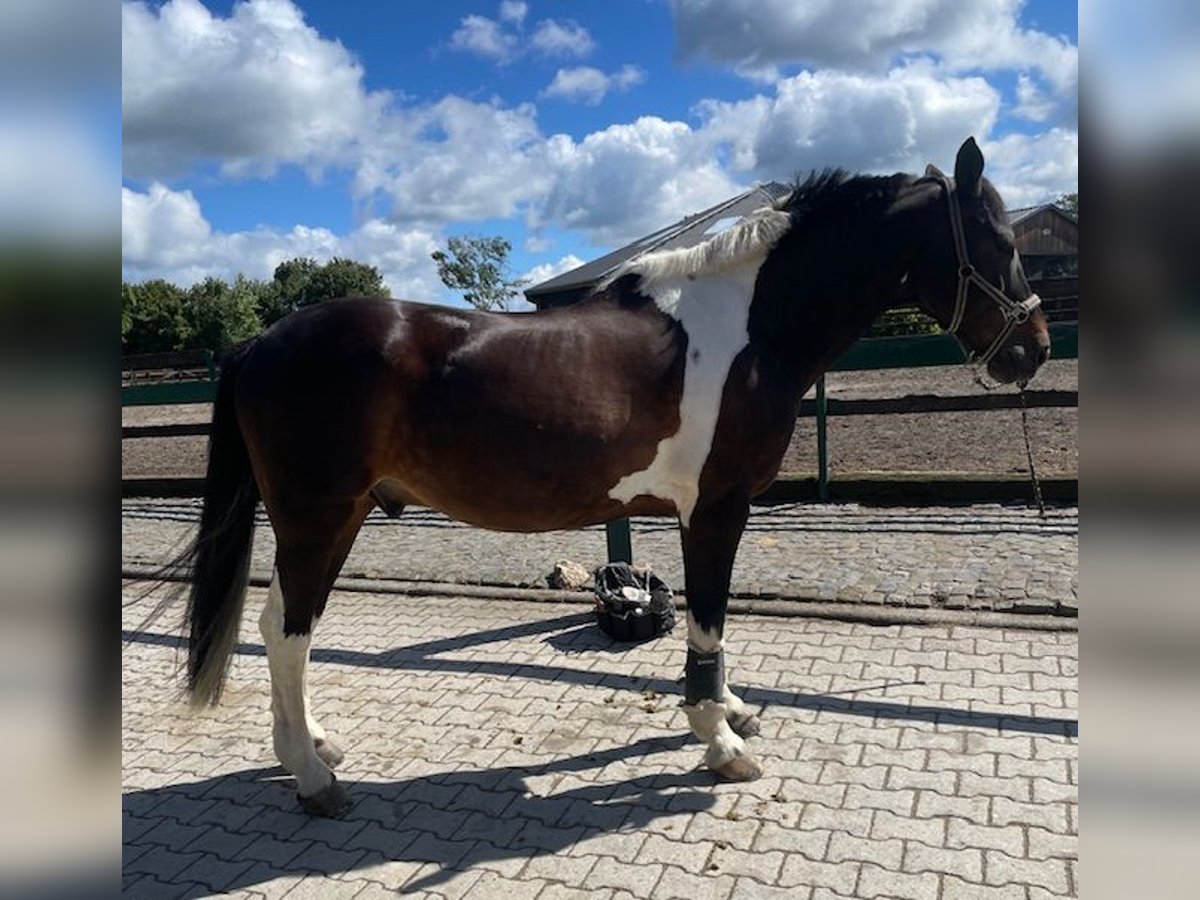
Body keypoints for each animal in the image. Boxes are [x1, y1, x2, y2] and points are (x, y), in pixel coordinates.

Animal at [177, 135, 1051, 816]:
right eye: (1000, 243)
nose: (1032, 350)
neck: (746, 328)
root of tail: (259, 342)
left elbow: (716, 626)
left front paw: (733, 711)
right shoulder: (717, 509)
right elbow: (708, 623)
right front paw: (718, 740)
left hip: (339, 516)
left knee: (284, 626)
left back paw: (314, 747)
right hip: (315, 517)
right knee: (288, 634)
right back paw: (313, 778)